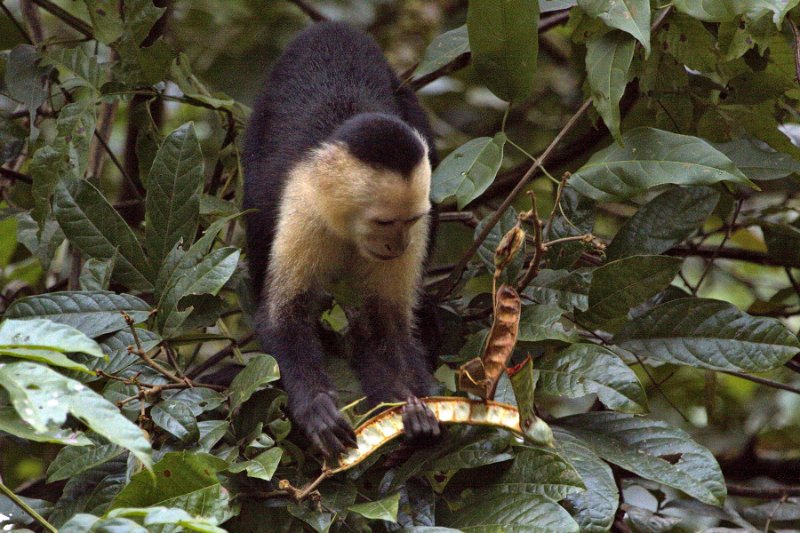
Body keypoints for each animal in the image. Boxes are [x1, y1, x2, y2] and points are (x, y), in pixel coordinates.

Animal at [244, 21, 444, 458]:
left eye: (410, 221)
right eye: (384, 221)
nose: (398, 247)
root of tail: (330, 27)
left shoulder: (420, 221)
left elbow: (385, 324)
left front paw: (414, 407)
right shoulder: (305, 209)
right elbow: (284, 314)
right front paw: (316, 406)